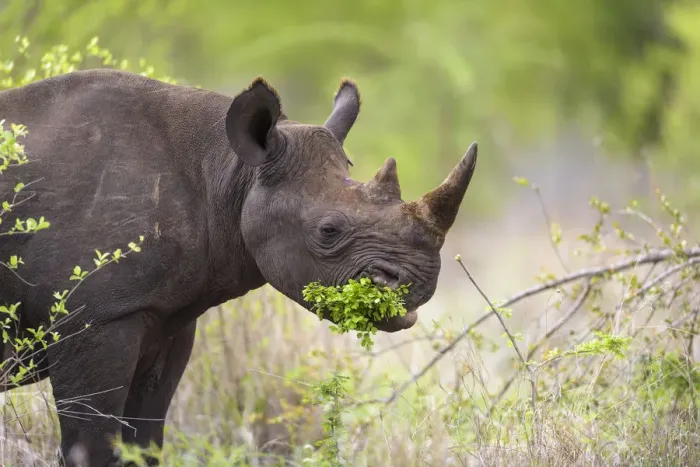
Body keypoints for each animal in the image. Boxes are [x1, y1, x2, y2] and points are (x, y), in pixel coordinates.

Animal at [0, 69, 478, 466]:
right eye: (328, 230)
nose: (420, 282)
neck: (226, 171)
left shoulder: (164, 316)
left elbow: (142, 442)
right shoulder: (92, 316)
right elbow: (91, 445)